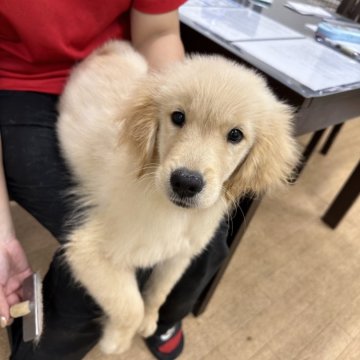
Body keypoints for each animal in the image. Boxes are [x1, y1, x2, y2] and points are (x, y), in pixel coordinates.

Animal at [56, 40, 298, 352]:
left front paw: (149, 320)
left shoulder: (180, 254)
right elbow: (129, 305)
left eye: (235, 135)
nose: (186, 182)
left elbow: (159, 291)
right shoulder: (89, 251)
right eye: (178, 117)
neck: (177, 214)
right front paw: (116, 341)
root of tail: (108, 49)